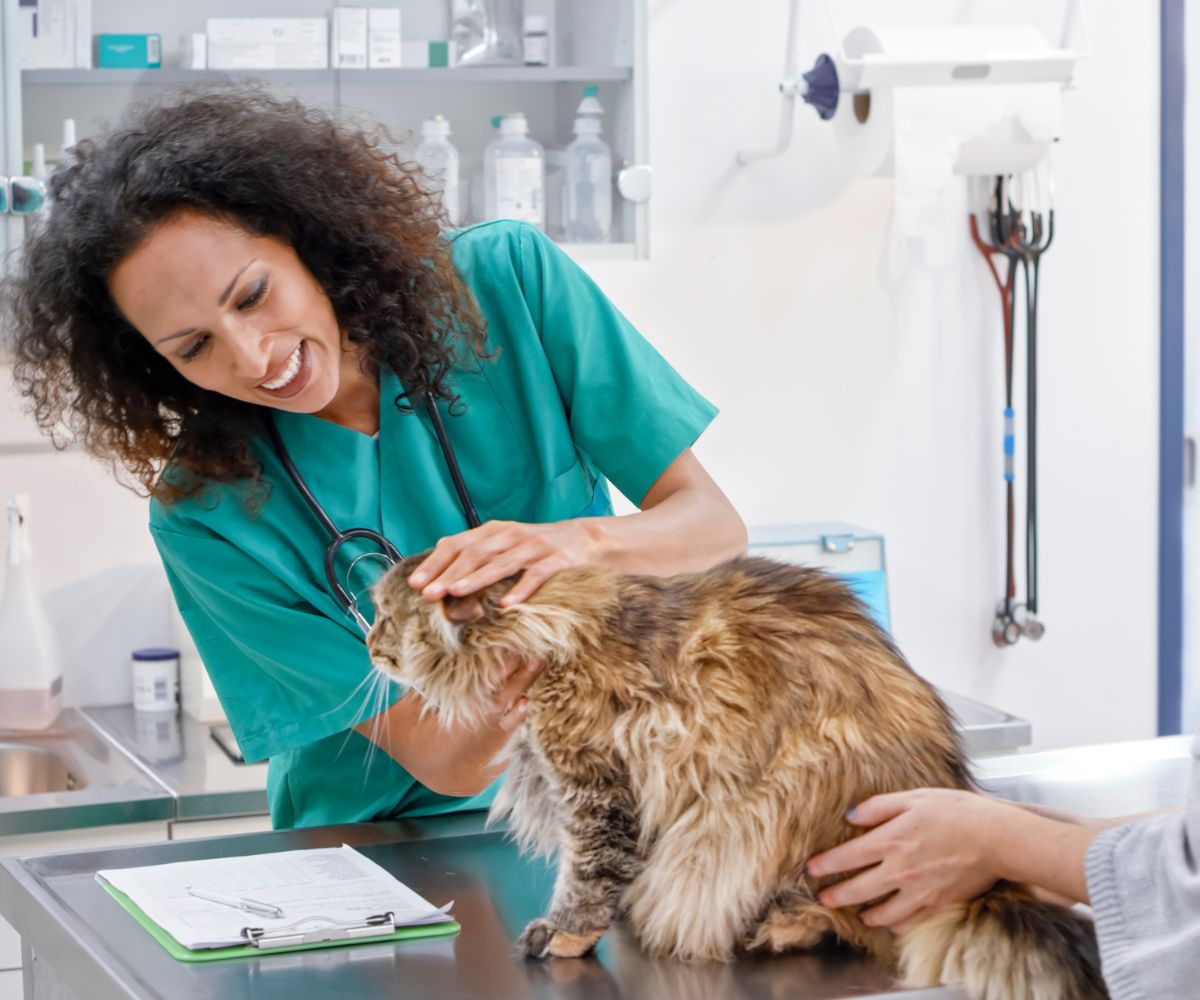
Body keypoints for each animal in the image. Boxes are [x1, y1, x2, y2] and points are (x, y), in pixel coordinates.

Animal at [364, 554, 1104, 998]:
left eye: (386, 618)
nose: (368, 645)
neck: (547, 630)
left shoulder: (594, 786)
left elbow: (589, 874)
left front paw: (566, 933)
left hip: (778, 802)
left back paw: (782, 927)